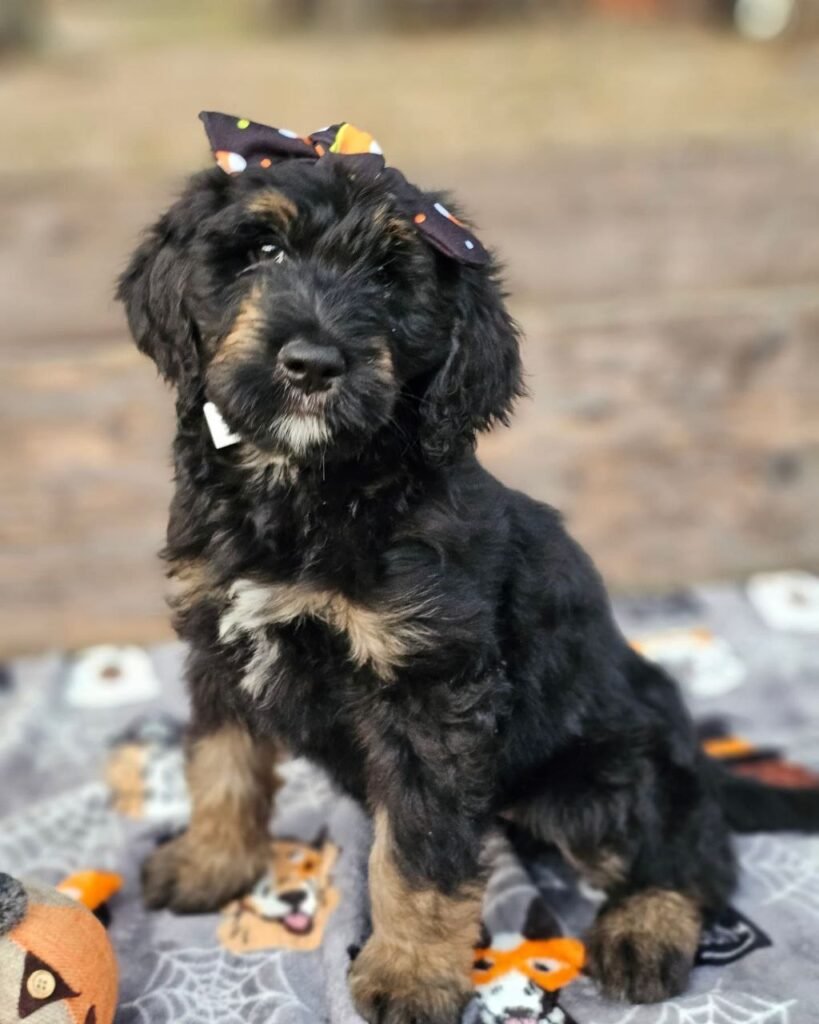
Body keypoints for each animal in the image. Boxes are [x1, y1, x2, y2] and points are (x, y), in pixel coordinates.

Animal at [118, 114, 814, 1024]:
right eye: (262, 250)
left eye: (390, 278)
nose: (311, 364)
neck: (312, 488)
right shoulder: (218, 641)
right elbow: (222, 763)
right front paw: (211, 863)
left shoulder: (430, 693)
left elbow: (417, 852)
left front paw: (410, 974)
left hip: (602, 775)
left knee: (685, 847)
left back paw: (644, 932)